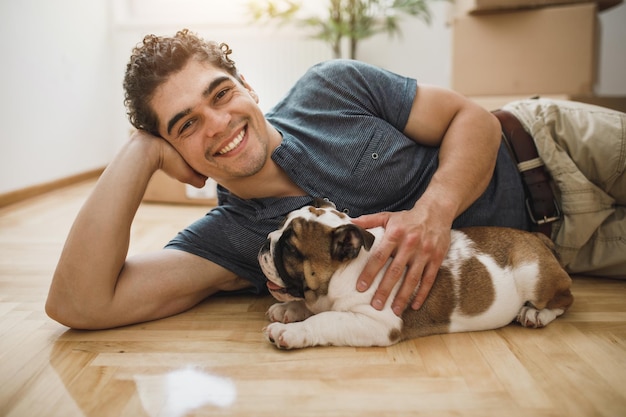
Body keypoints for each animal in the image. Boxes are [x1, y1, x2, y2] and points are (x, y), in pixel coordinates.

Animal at [258, 199, 572, 348]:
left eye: (289, 248)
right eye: (280, 226)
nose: (265, 241)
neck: (344, 271)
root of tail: (536, 238)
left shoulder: (376, 323)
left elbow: (325, 319)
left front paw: (291, 331)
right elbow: (315, 309)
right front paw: (289, 310)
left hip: (534, 275)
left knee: (565, 299)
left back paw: (535, 314)